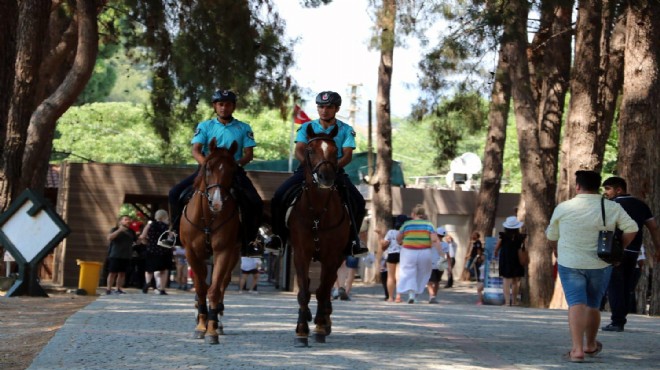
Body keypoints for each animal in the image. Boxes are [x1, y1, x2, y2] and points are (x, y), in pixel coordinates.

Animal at [179, 138, 241, 344]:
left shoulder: (223, 251)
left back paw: (218, 322)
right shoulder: (191, 253)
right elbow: (200, 289)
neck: (208, 217)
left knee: (222, 285)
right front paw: (200, 326)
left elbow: (214, 290)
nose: (217, 202)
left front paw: (212, 330)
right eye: (208, 167)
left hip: (232, 255)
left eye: (232, 169)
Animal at [288, 124, 350, 346]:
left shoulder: (332, 256)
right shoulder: (301, 253)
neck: (317, 213)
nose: (326, 178)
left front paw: (321, 327)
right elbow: (304, 292)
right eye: (310, 150)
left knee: (327, 285)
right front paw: (301, 330)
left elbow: (323, 291)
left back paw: (324, 318)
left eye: (335, 150)